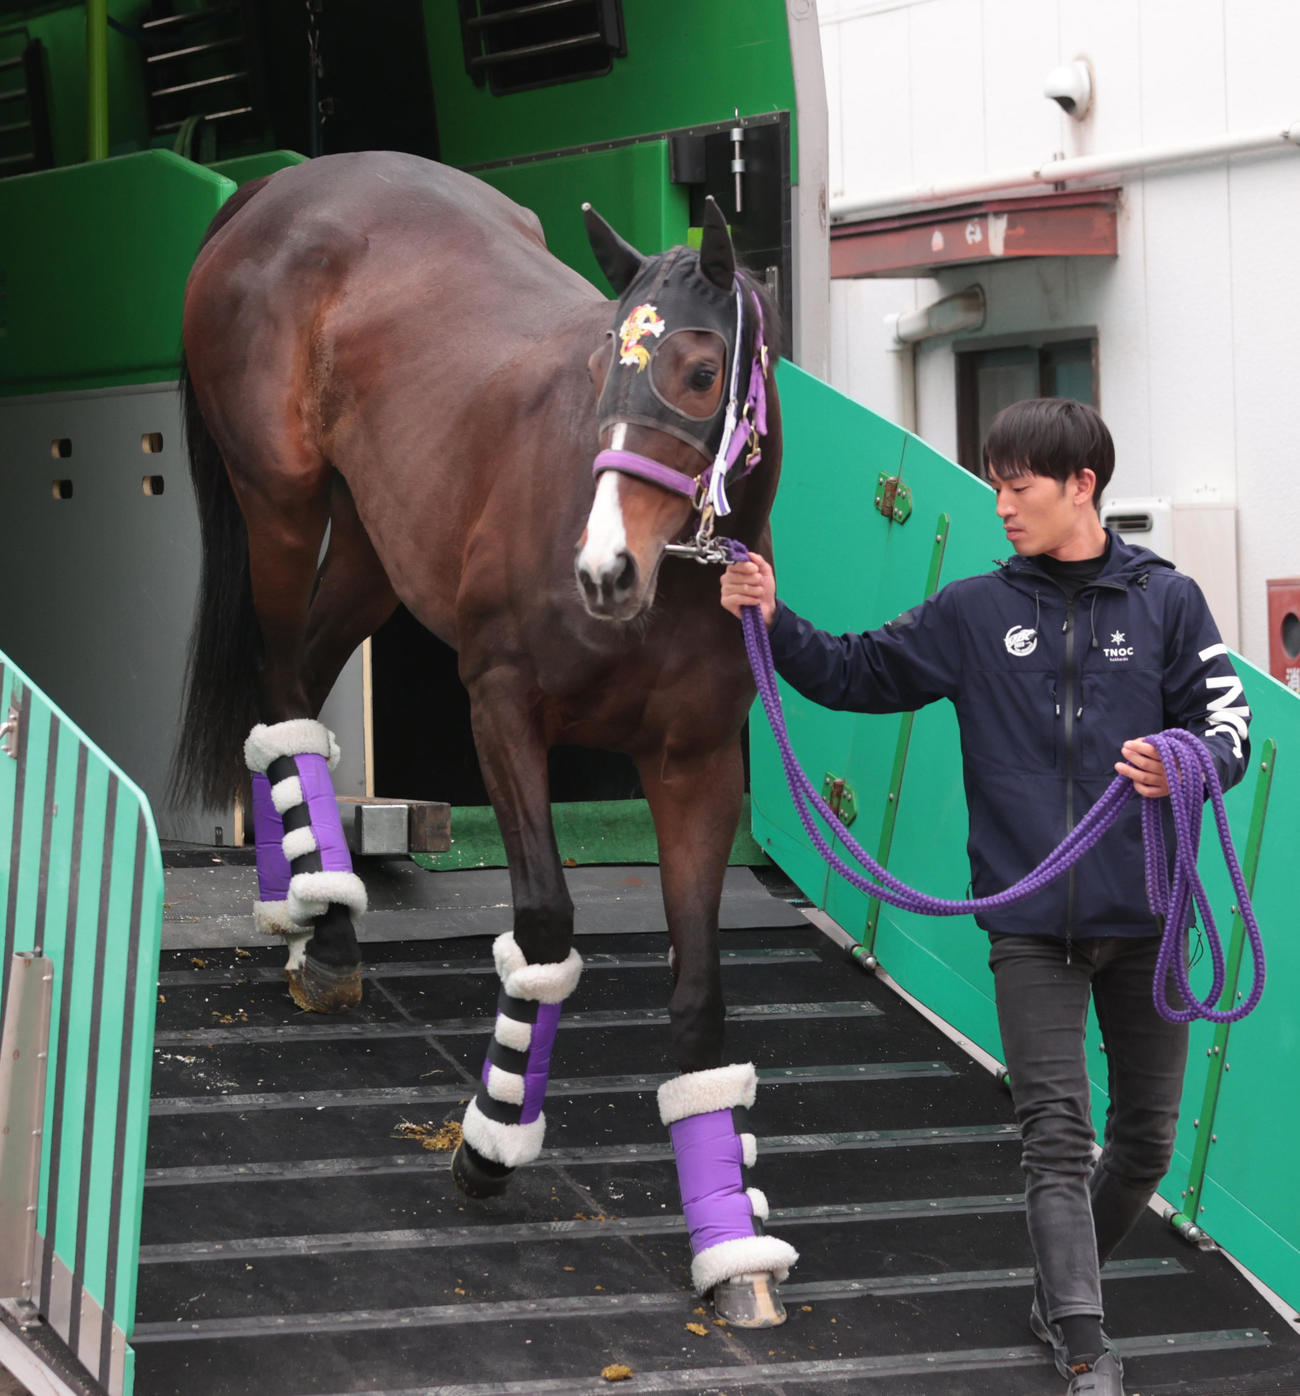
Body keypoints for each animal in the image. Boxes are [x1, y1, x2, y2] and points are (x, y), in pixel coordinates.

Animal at [173, 150, 795, 1324]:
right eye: (602, 362)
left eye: (700, 372)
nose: (602, 570)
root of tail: (284, 186)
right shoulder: (502, 709)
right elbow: (546, 926)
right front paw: (492, 1140)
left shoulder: (695, 767)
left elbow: (699, 998)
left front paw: (731, 1249)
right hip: (279, 499)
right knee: (281, 683)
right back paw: (323, 929)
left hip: (374, 541)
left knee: (302, 679)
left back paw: (305, 906)